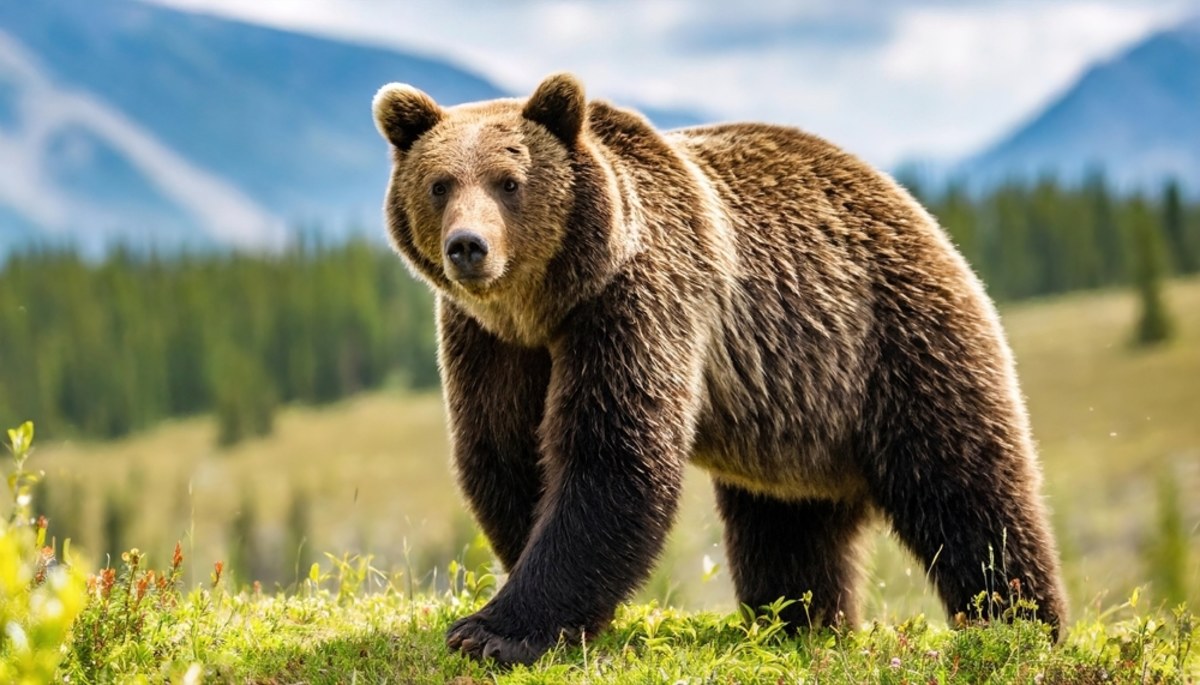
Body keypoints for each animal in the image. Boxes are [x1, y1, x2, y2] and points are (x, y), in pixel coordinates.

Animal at [369, 71, 1065, 667]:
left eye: (509, 181)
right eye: (440, 184)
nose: (469, 247)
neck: (546, 304)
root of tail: (914, 208)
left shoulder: (639, 298)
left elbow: (613, 453)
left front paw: (493, 632)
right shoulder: (489, 340)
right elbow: (504, 451)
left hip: (897, 344)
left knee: (971, 495)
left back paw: (1021, 626)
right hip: (796, 418)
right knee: (788, 532)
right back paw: (803, 623)